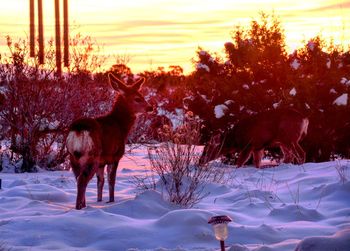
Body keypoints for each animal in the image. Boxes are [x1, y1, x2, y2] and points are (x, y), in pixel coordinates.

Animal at [66, 73, 152, 210]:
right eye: (137, 98)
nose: (150, 107)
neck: (121, 126)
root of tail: (78, 130)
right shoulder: (114, 156)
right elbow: (111, 180)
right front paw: (111, 201)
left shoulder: (102, 162)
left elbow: (100, 182)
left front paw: (99, 200)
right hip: (92, 155)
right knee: (82, 180)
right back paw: (79, 207)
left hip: (73, 157)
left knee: (78, 178)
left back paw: (83, 205)